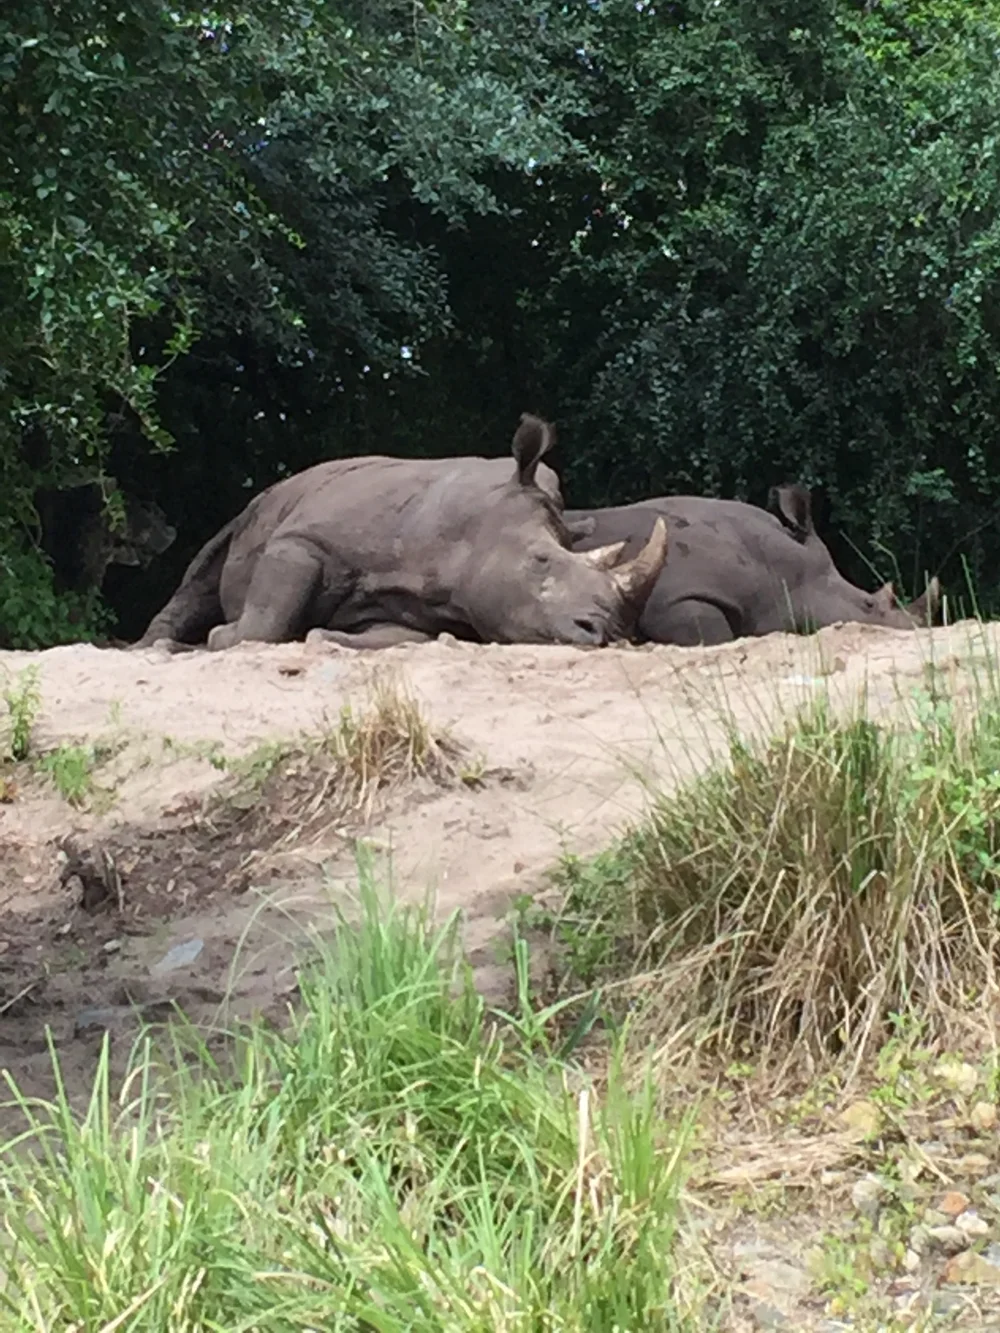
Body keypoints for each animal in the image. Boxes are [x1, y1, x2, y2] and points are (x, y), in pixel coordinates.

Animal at [136, 414, 669, 652]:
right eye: (541, 561)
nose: (608, 634)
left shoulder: (422, 610)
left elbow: (396, 639)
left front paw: (324, 636)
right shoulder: (301, 540)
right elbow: (265, 620)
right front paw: (221, 636)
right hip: (257, 505)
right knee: (205, 564)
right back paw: (155, 647)